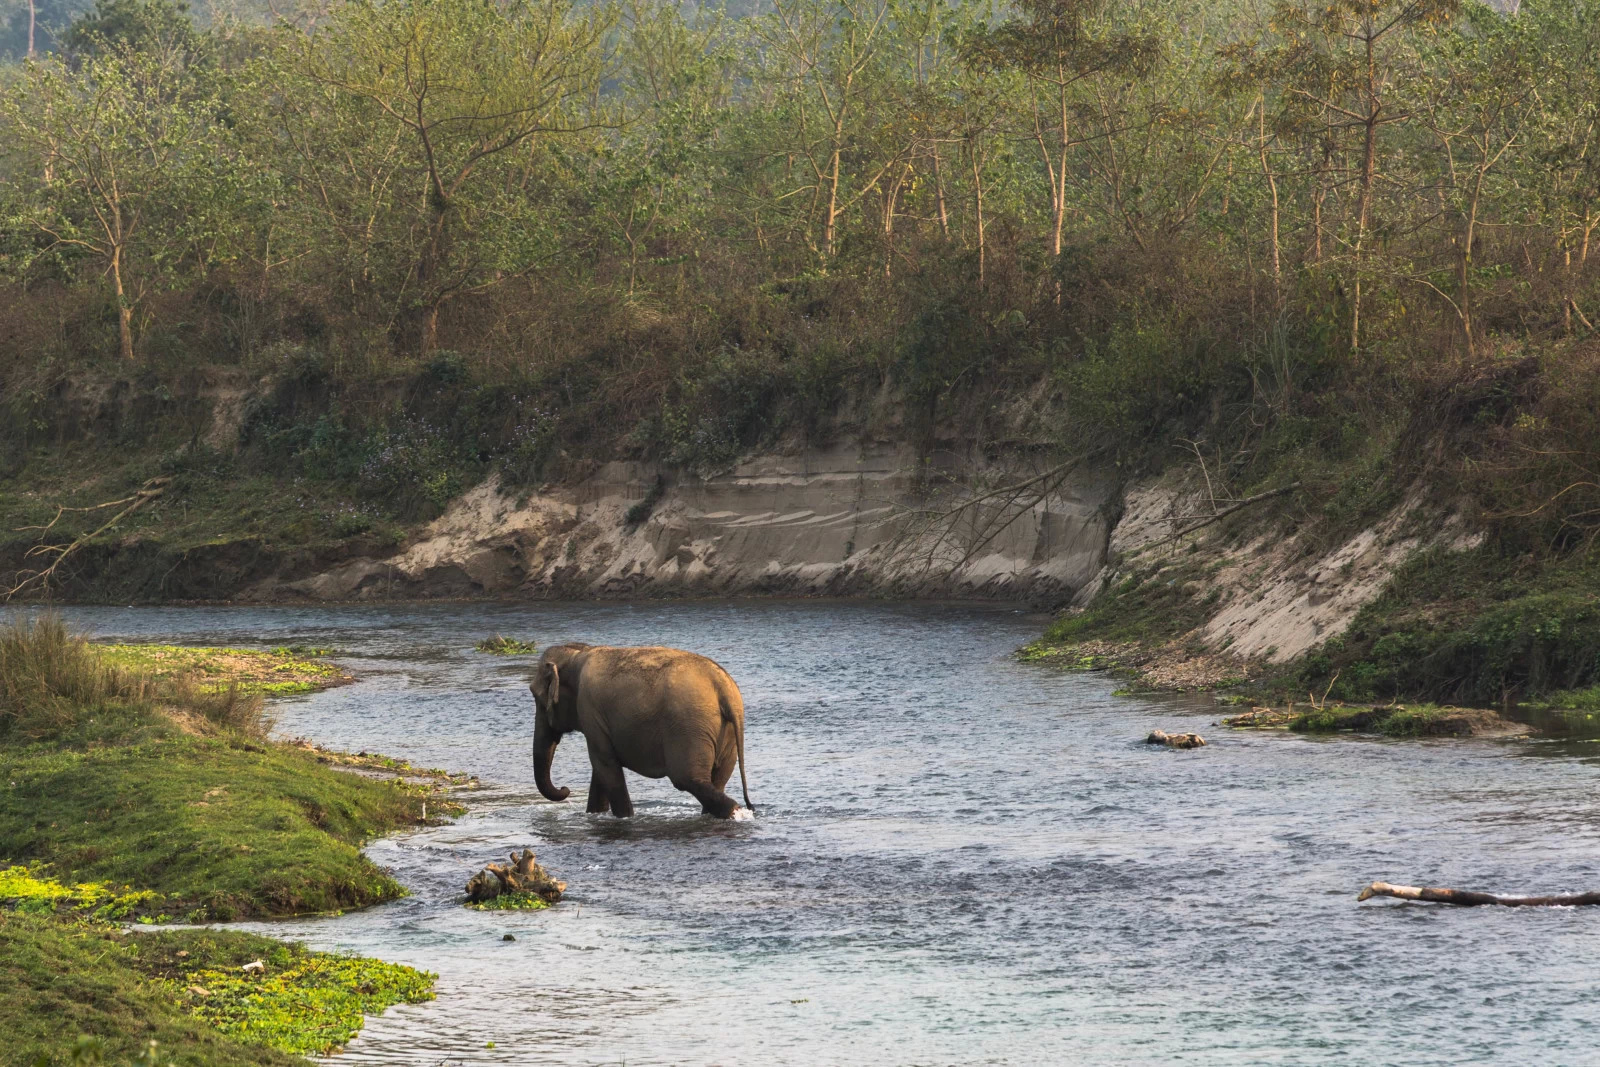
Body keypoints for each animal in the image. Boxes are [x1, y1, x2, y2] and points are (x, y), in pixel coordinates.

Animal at [524, 643, 748, 819]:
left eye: (536, 696)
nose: (565, 789)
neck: (578, 653)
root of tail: (723, 688)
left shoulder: (589, 710)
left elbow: (604, 764)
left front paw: (624, 818)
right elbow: (601, 769)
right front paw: (595, 814)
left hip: (689, 726)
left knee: (687, 778)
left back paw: (735, 812)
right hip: (724, 732)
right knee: (718, 778)